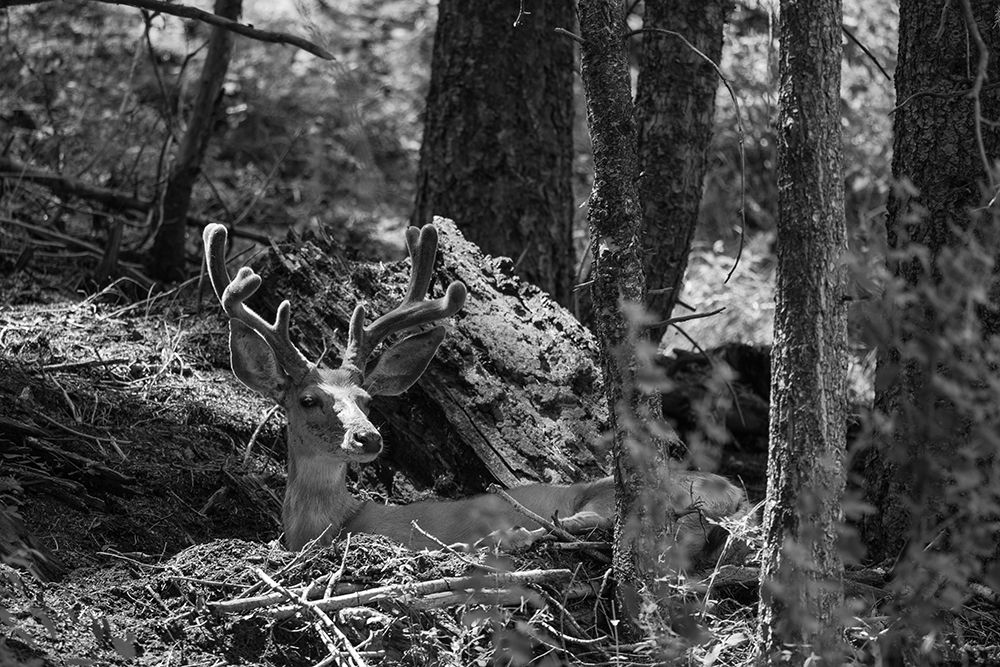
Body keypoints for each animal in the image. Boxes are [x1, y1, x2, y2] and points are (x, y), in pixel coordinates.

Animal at [202, 222, 749, 566]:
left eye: (367, 400)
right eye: (308, 400)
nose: (368, 438)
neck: (335, 524)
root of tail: (736, 494)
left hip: (617, 497)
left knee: (581, 524)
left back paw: (494, 542)